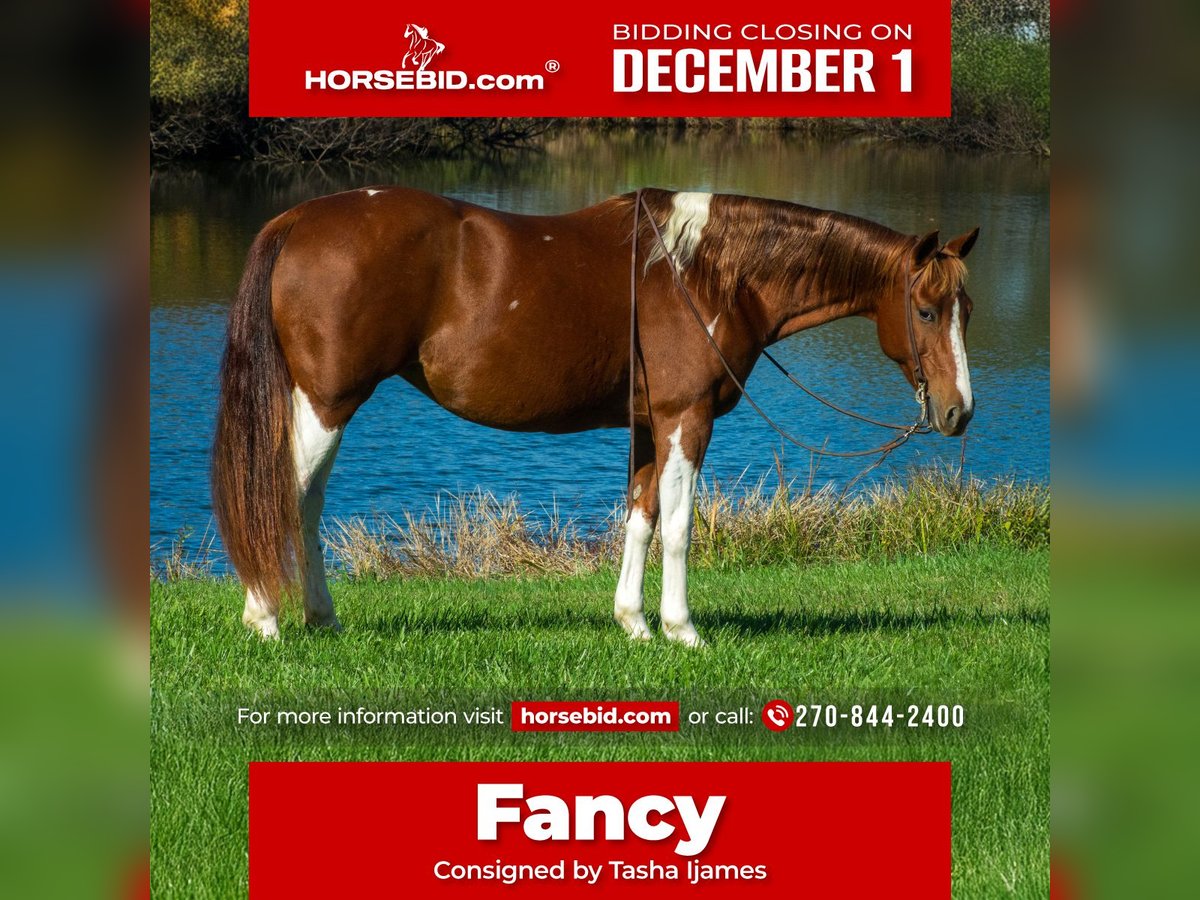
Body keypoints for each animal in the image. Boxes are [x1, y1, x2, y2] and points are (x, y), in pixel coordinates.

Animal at [212, 187, 979, 645]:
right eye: (925, 310)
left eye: (966, 310)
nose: (959, 412)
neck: (706, 272)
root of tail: (297, 219)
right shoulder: (685, 417)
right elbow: (680, 527)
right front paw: (682, 629)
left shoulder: (647, 425)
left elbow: (641, 518)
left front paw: (634, 622)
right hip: (326, 403)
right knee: (284, 498)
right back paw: (268, 617)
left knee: (304, 505)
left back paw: (319, 616)